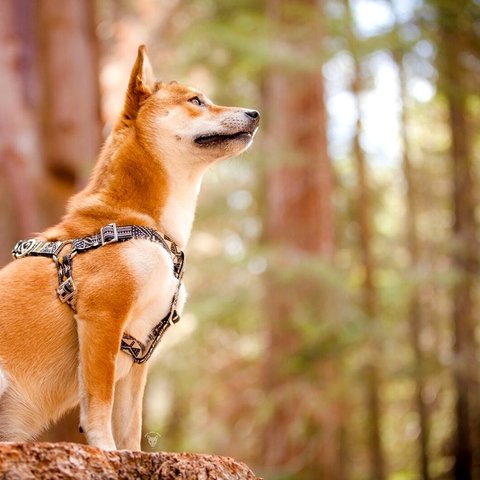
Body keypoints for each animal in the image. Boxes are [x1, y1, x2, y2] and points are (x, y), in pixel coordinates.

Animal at [0, 45, 258, 450]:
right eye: (196, 101)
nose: (255, 114)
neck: (137, 221)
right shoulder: (103, 317)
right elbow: (99, 405)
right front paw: (105, 450)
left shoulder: (139, 351)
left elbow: (130, 425)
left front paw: (132, 455)